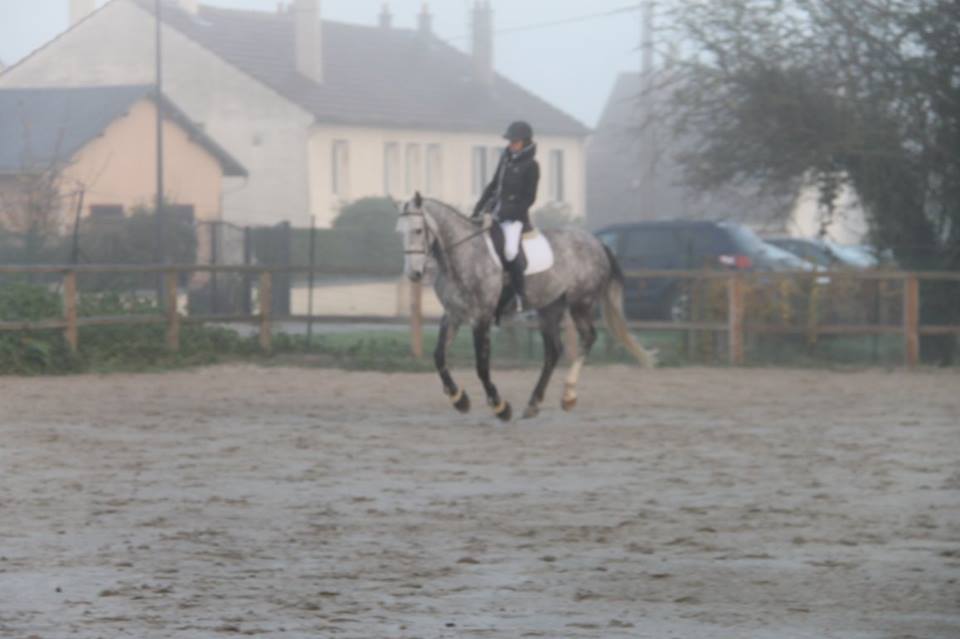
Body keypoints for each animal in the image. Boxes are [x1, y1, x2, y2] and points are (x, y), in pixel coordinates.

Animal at [394, 194, 656, 424]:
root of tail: (598, 243)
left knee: (588, 338)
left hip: (581, 304)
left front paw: (500, 407)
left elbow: (482, 367)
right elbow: (439, 357)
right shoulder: (453, 316)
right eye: (400, 232)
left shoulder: (481, 317)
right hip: (549, 309)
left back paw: (568, 395)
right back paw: (533, 403)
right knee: (553, 351)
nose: (414, 273)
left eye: (418, 230)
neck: (464, 256)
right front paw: (459, 399)